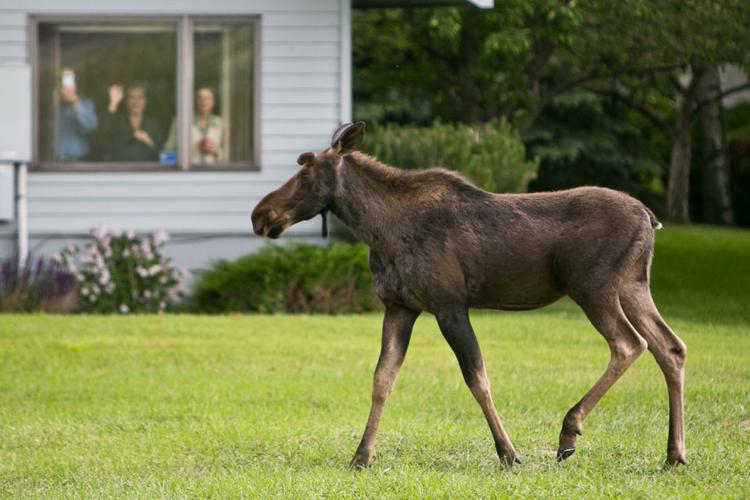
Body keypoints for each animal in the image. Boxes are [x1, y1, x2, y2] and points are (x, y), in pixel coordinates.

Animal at [251, 122, 687, 469]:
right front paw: (361, 456)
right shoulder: (399, 307)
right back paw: (674, 453)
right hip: (633, 285)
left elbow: (477, 378)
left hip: (593, 285)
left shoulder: (449, 304)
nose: (260, 214)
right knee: (671, 346)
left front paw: (509, 453)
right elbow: (381, 380)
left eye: (306, 175)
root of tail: (651, 218)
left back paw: (569, 433)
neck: (378, 231)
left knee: (629, 343)